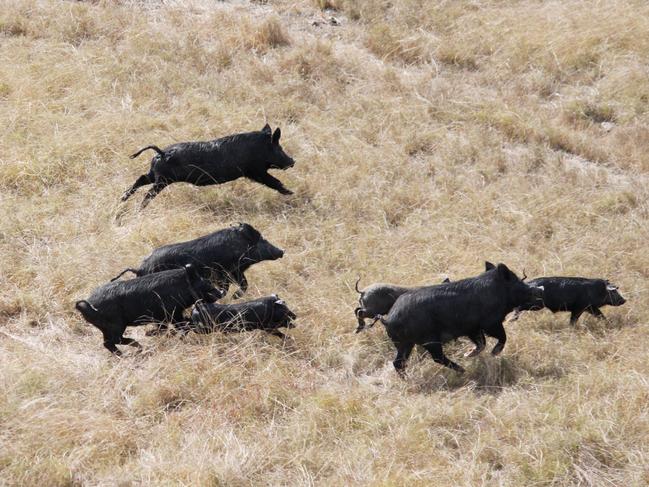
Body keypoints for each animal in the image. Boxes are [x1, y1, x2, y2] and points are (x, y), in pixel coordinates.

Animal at [74, 266, 223, 354]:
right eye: (206, 284)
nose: (220, 293)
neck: (182, 288)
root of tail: (86, 305)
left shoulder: (167, 316)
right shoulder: (170, 313)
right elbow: (179, 325)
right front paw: (150, 334)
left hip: (107, 328)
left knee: (109, 343)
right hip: (115, 326)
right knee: (111, 342)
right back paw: (133, 350)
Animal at [120, 124, 294, 208]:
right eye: (278, 147)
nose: (292, 161)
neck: (259, 148)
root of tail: (162, 153)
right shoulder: (254, 171)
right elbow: (273, 181)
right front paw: (290, 192)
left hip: (154, 175)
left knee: (140, 179)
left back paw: (122, 200)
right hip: (163, 180)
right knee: (148, 193)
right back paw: (139, 208)